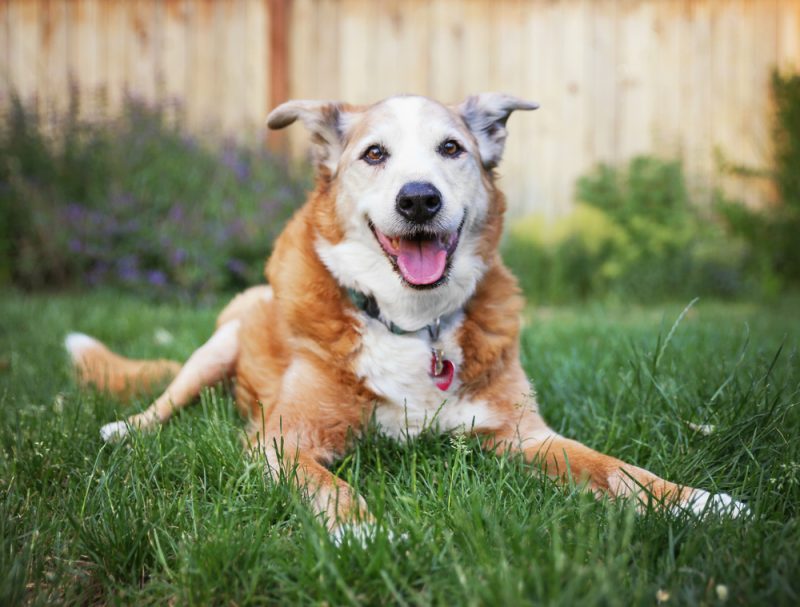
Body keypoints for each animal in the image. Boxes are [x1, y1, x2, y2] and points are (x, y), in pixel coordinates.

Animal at [65, 94, 748, 540]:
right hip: (218, 347)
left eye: (451, 148)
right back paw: (125, 429)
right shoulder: (282, 443)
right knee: (167, 398)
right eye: (374, 154)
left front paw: (698, 501)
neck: (414, 323)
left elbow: (616, 469)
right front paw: (362, 534)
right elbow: (329, 485)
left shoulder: (523, 436)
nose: (419, 199)